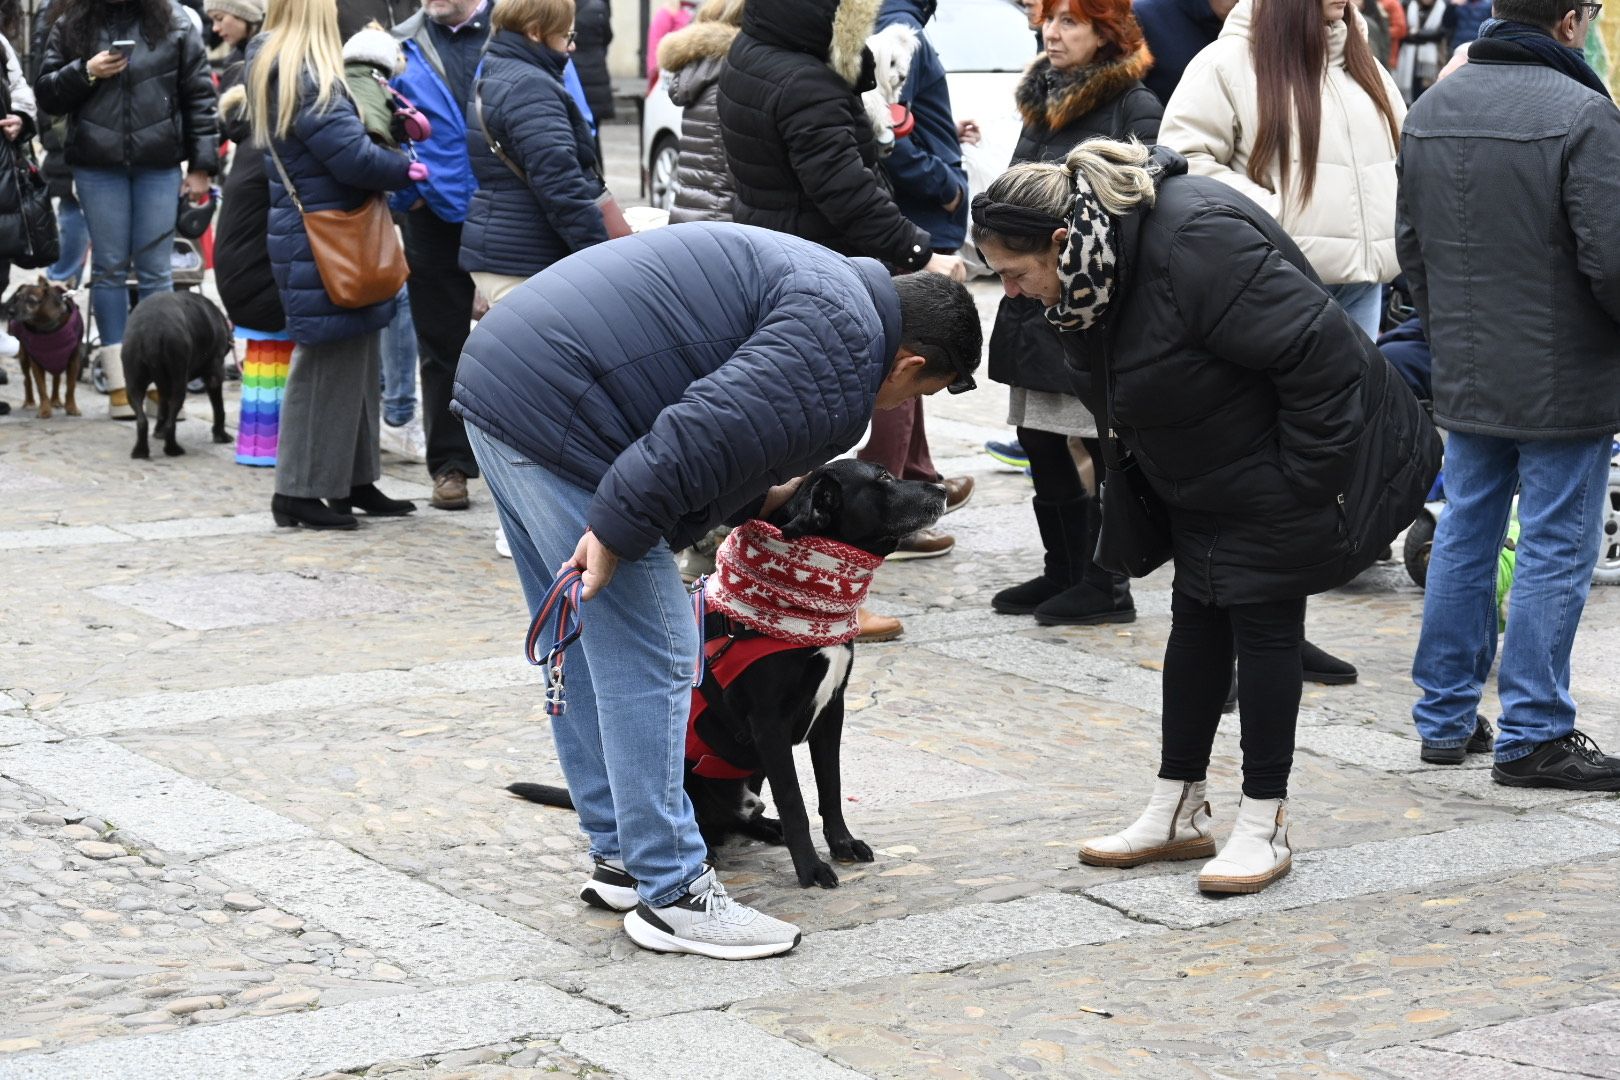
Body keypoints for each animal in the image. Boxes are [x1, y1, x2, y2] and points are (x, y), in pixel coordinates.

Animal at [124, 293, 236, 459]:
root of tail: (152, 332)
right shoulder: (215, 374)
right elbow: (219, 409)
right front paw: (221, 435)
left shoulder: (162, 384)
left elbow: (162, 405)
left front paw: (159, 431)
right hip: (178, 377)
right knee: (172, 420)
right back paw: (173, 448)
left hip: (133, 381)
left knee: (142, 420)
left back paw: (141, 450)